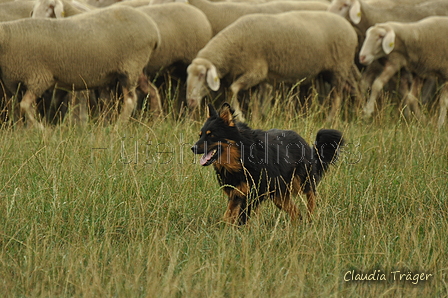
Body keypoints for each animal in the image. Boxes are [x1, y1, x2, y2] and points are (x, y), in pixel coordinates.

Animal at [0, 5, 160, 127]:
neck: (8, 36)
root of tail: (153, 30)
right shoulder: (15, 86)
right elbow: (18, 110)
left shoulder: (38, 78)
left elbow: (24, 105)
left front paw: (42, 129)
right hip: (137, 69)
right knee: (152, 91)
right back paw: (157, 120)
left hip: (130, 65)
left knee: (130, 100)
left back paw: (118, 127)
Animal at [187, 10, 362, 120]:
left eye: (202, 75)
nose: (190, 102)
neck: (233, 46)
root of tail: (350, 28)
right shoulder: (255, 80)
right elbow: (254, 102)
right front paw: (256, 120)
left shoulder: (256, 71)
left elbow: (232, 89)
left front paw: (240, 116)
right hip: (337, 69)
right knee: (353, 89)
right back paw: (360, 117)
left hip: (339, 68)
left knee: (337, 97)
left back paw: (331, 120)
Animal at [192, 103, 344, 226]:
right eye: (200, 135)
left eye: (211, 135)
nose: (192, 148)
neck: (241, 156)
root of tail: (305, 143)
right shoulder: (236, 194)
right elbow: (227, 217)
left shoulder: (252, 195)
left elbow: (240, 218)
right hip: (279, 196)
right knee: (295, 212)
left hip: (301, 181)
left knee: (311, 196)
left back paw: (311, 218)